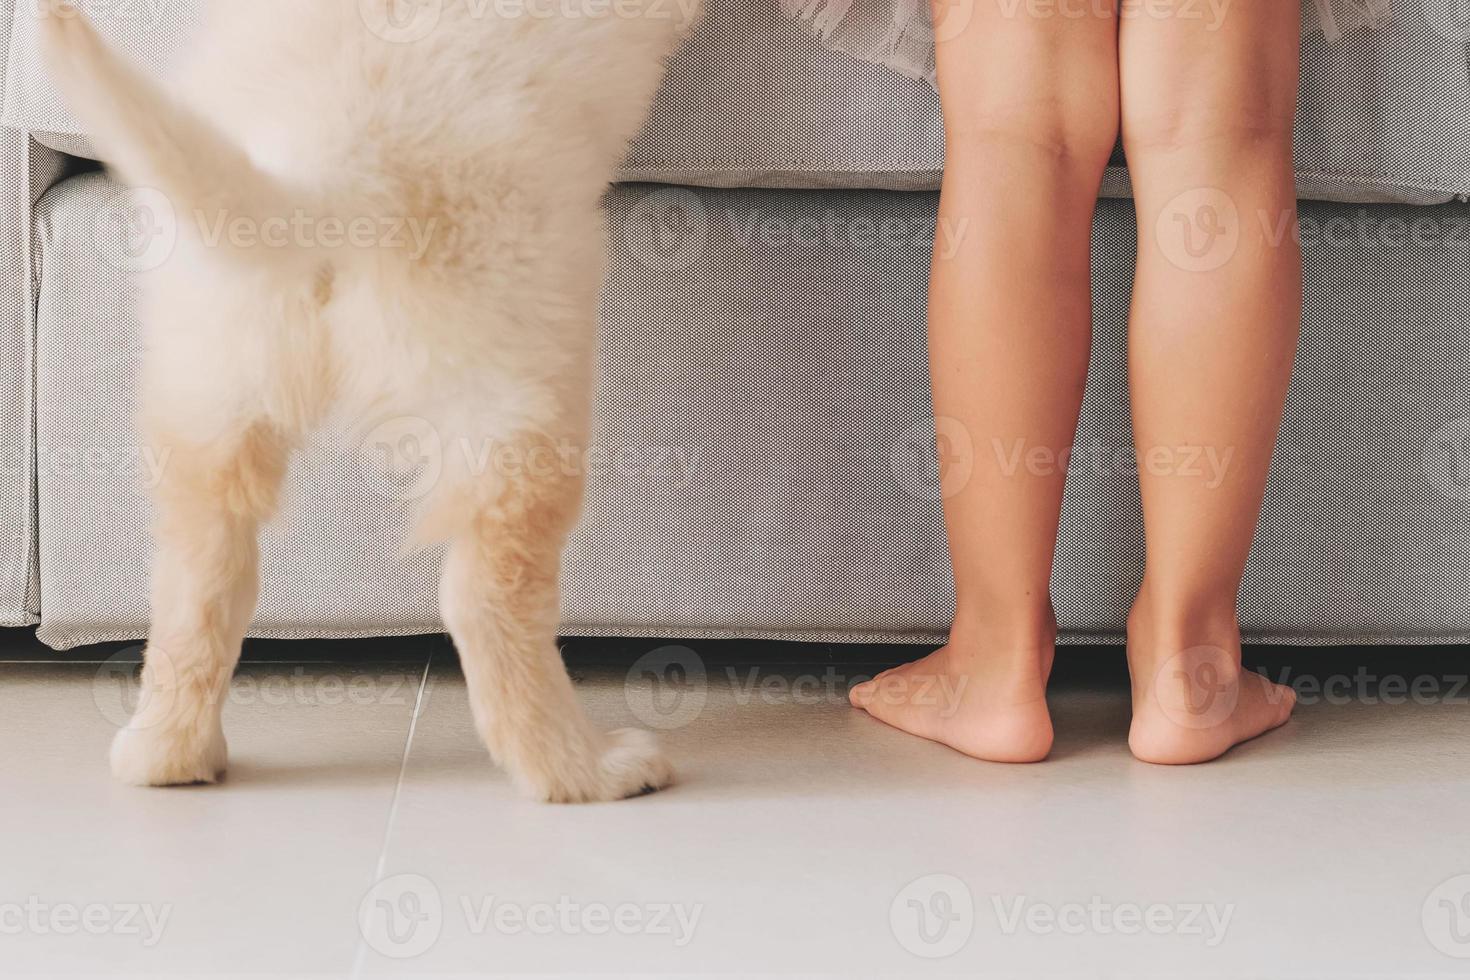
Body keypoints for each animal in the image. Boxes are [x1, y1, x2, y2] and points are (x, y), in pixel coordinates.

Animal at [34, 0, 699, 799]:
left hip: (209, 382)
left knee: (201, 577)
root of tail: (325, 175)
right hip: (521, 386)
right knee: (485, 598)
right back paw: (585, 768)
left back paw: (167, 754)